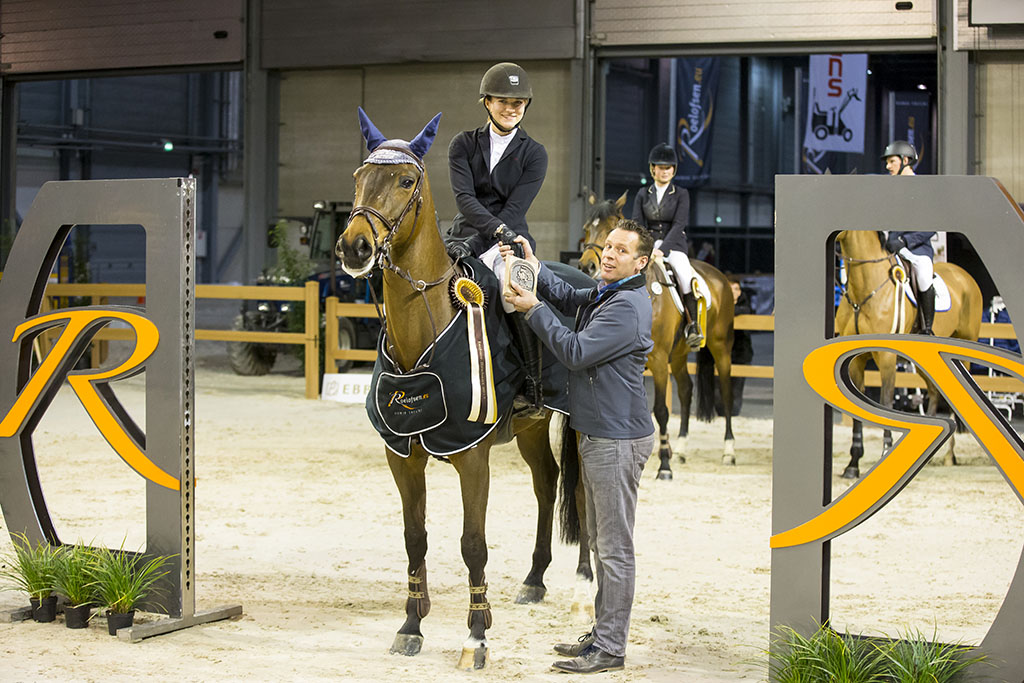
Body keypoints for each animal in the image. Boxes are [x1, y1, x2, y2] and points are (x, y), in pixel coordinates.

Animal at [335, 109, 590, 670]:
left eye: (405, 182)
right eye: (358, 177)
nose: (354, 246)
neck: (424, 328)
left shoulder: (473, 457)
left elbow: (473, 542)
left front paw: (476, 635)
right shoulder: (403, 456)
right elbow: (415, 538)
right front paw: (411, 625)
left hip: (585, 428)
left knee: (585, 493)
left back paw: (586, 586)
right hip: (532, 428)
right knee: (547, 482)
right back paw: (534, 579)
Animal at [579, 192, 737, 478]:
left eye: (611, 229)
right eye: (587, 228)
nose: (587, 266)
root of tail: (719, 276)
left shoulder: (659, 359)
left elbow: (661, 410)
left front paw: (664, 464)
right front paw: (666, 454)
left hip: (721, 347)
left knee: (727, 393)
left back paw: (728, 452)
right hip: (680, 355)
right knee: (686, 390)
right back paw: (682, 450)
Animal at [834, 230, 983, 478]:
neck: (864, 288)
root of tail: (964, 275)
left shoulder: (886, 357)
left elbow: (885, 401)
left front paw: (885, 452)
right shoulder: (856, 361)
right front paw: (853, 465)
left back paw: (949, 456)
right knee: (933, 392)